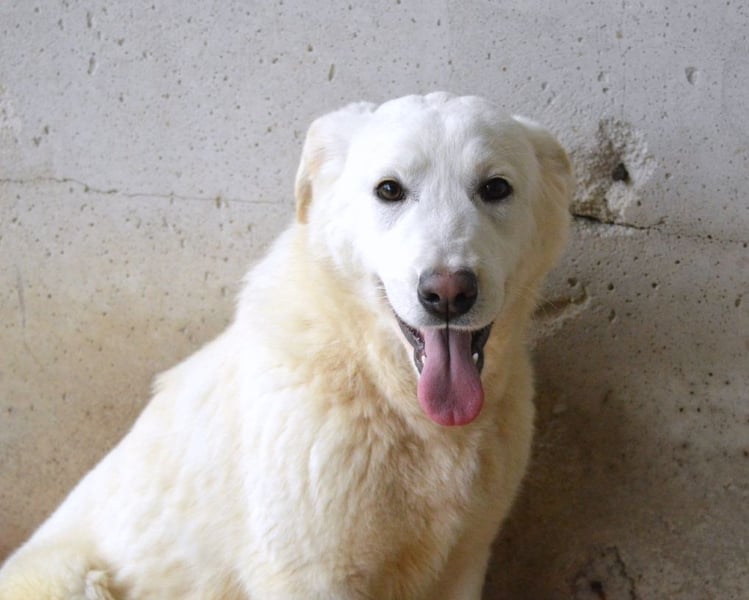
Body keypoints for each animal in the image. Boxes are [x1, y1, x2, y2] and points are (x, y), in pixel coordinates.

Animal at [0, 92, 572, 599]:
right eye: (389, 190)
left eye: (495, 188)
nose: (448, 293)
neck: (382, 388)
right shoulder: (311, 577)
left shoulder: (463, 564)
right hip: (70, 577)